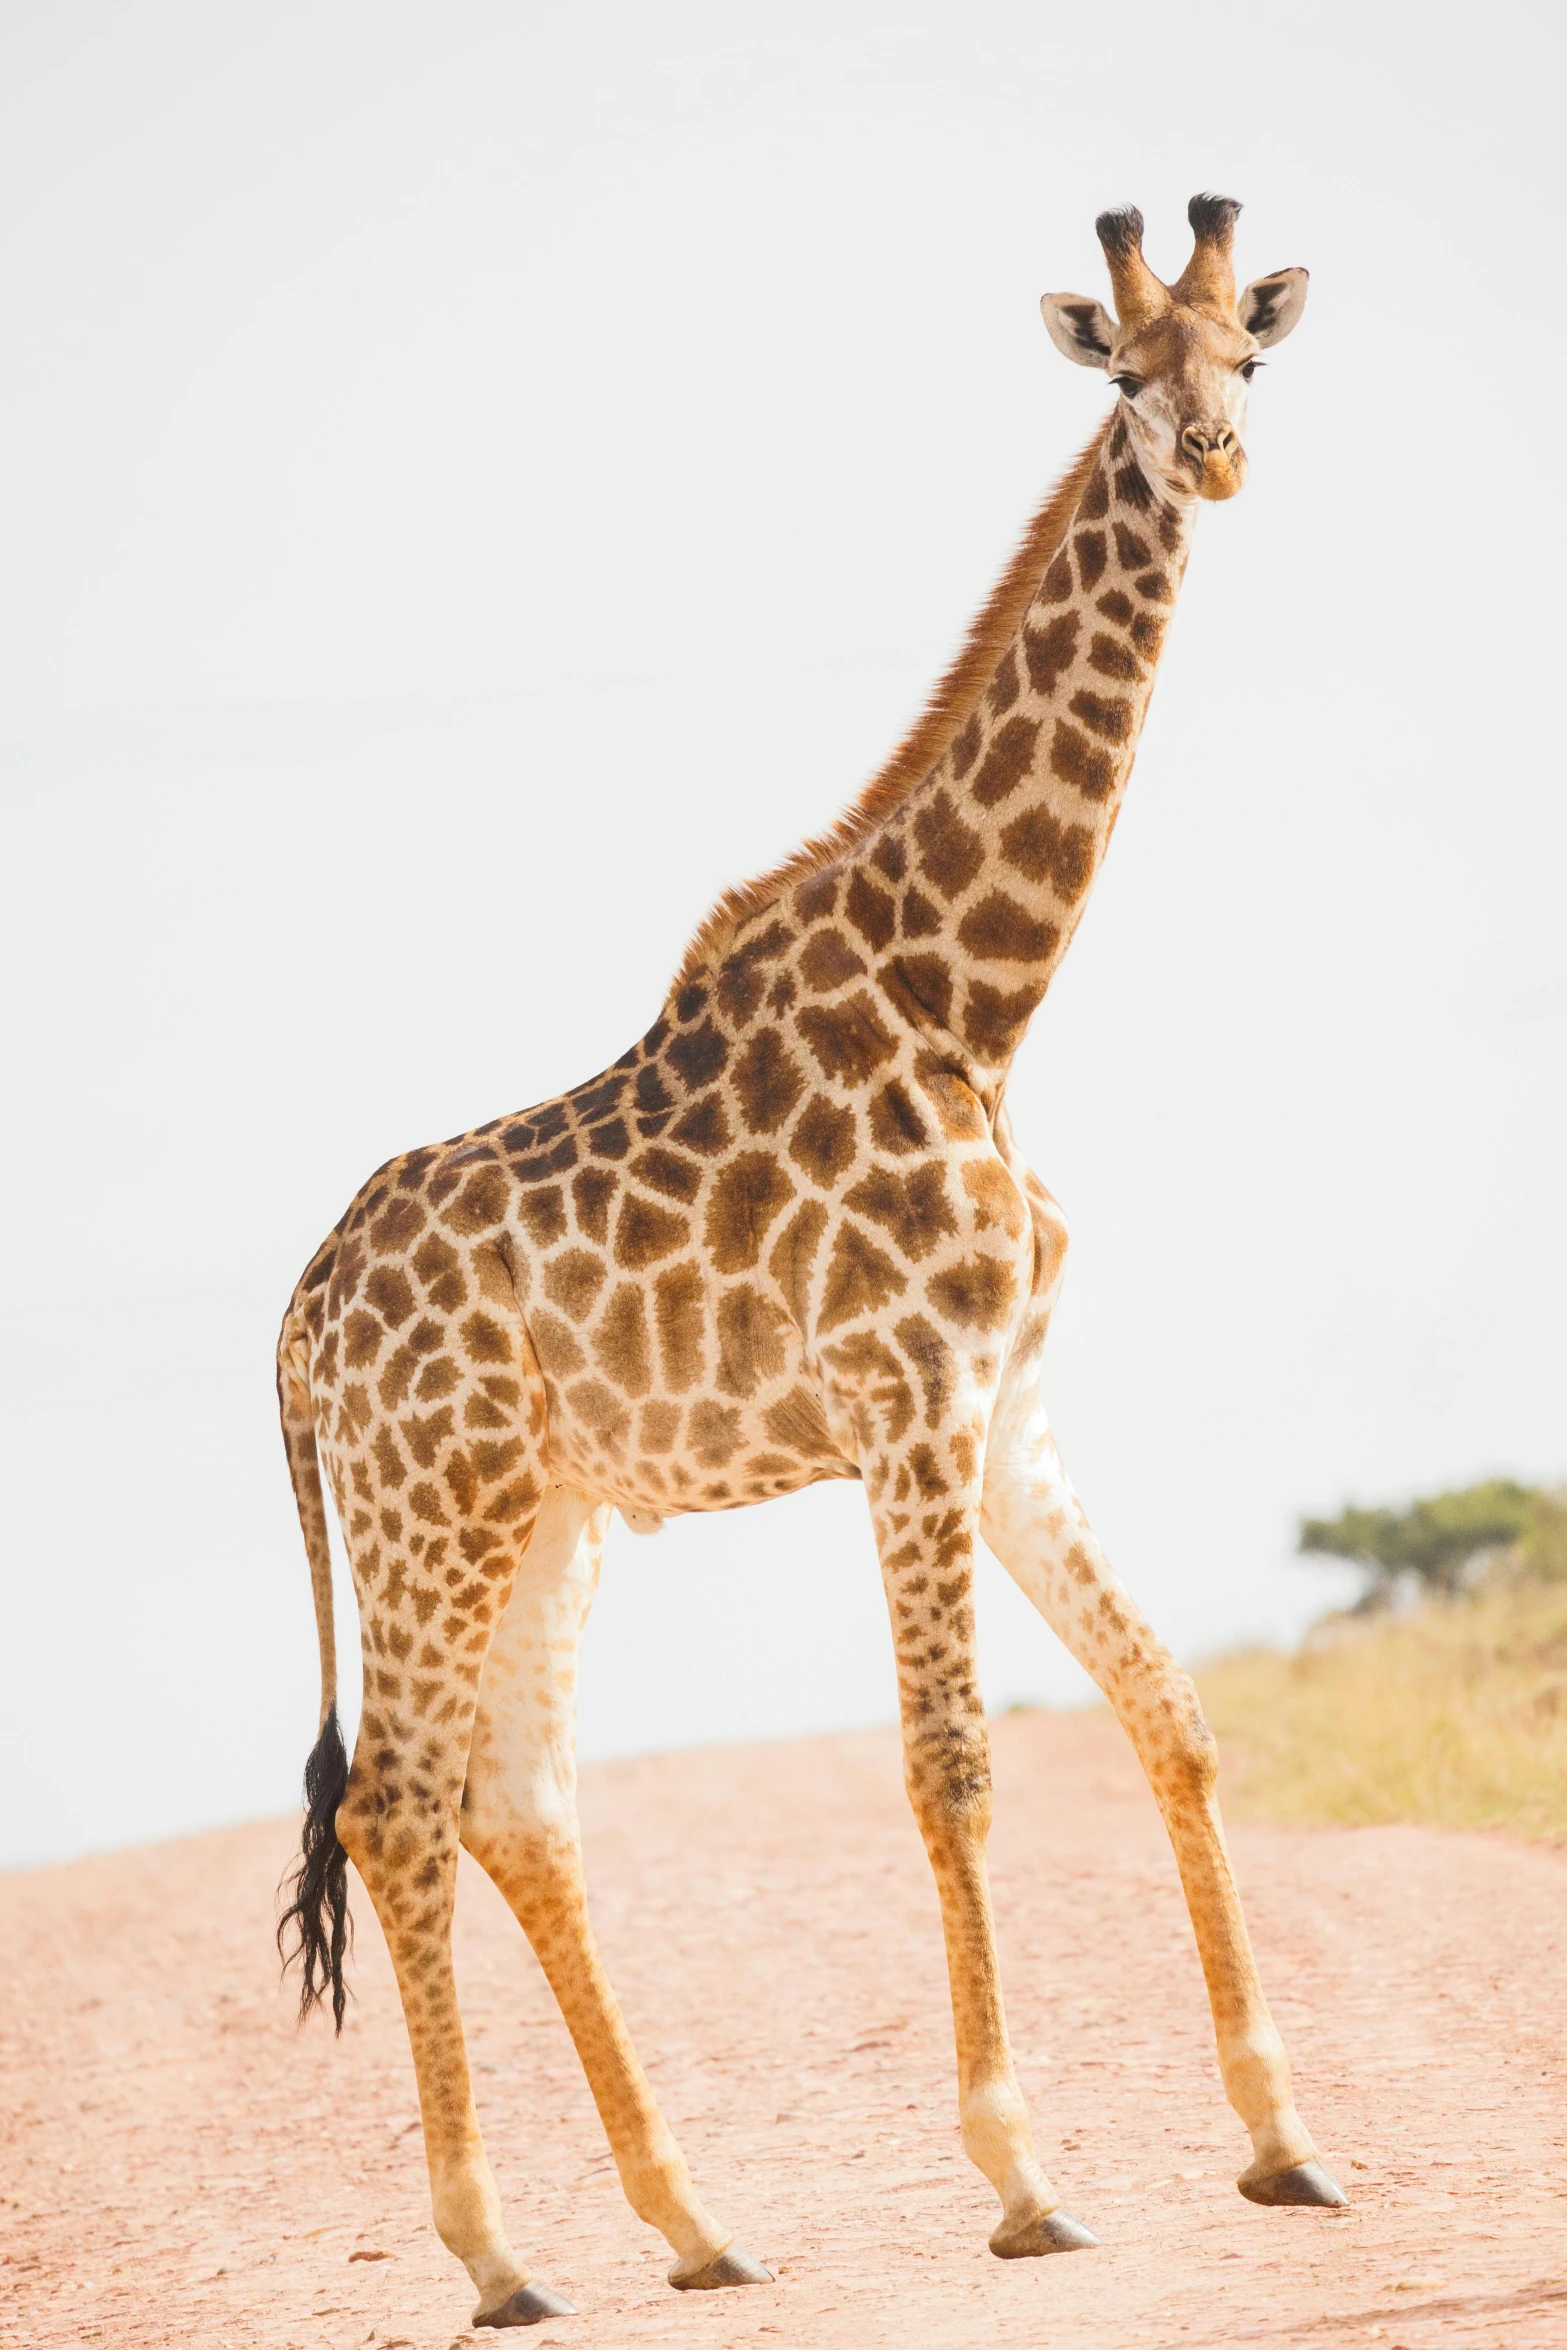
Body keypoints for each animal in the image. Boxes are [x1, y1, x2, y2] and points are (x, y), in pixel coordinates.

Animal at [276, 192, 1334, 2321]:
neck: (974, 1003)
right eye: (1125, 371)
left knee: (514, 1806)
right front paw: (1021, 2177)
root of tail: (297, 1320)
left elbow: (1168, 1710)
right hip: (428, 1507)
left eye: (1248, 358)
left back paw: (692, 2228)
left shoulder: (1006, 1408)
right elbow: (948, 1765)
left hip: (544, 1513)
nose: (1212, 456)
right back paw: (497, 2259)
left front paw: (1281, 2139)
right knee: (396, 1805)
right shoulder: (908, 1403)